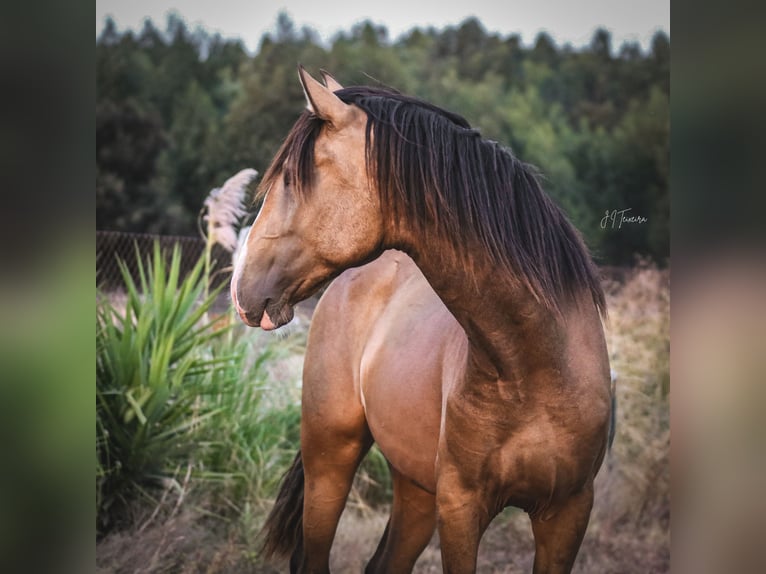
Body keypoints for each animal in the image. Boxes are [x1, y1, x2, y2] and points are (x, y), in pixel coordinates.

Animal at [231, 65, 616, 572]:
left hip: (414, 487)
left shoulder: (568, 513)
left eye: (293, 181)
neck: (533, 366)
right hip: (330, 459)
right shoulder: (460, 508)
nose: (240, 288)